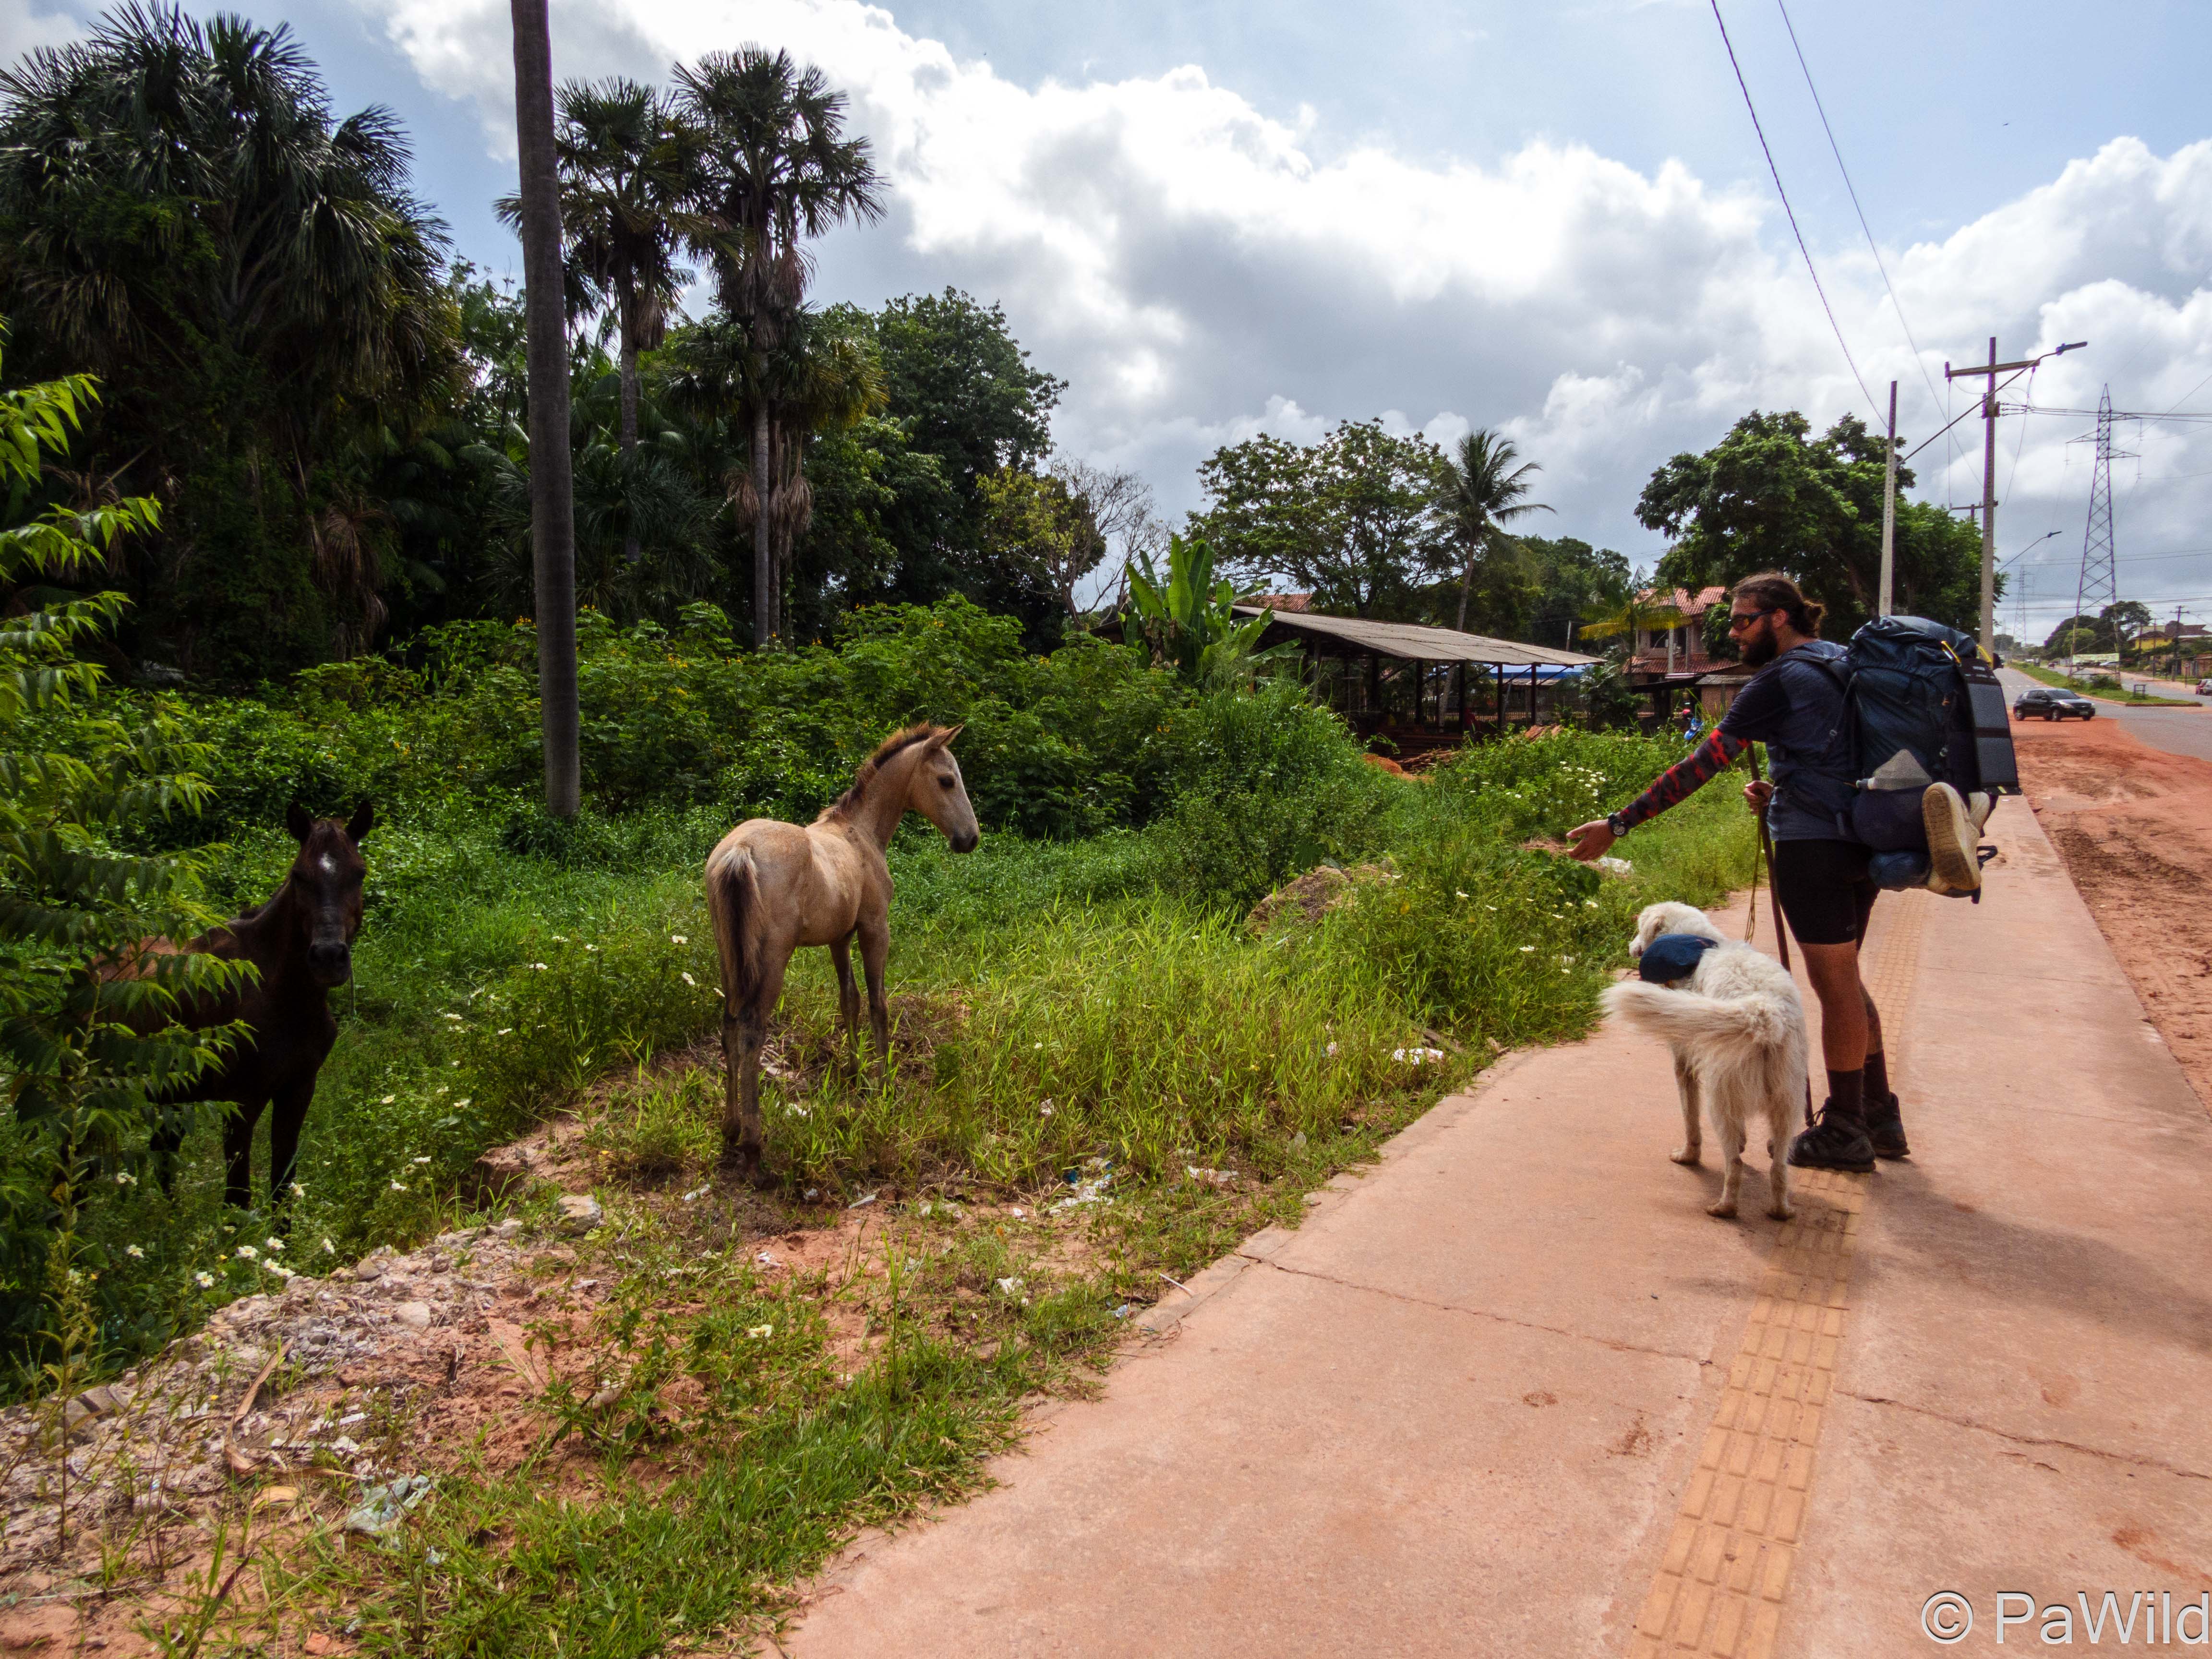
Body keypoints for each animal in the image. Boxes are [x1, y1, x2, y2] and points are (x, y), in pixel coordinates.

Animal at [144, 801, 376, 1212]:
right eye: (299, 876)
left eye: (359, 874)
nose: (328, 958)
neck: (281, 996)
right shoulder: (239, 1105)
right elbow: (238, 1198)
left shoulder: (297, 1092)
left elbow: (282, 1186)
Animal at [1601, 911, 1805, 1221]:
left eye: (1639, 928)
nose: (1630, 946)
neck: (1698, 947)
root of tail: (1764, 1012)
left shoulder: (1684, 1066)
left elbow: (1691, 1122)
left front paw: (1688, 1157)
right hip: (1787, 1103)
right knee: (1779, 1166)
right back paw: (1780, 1210)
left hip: (1720, 1100)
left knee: (1734, 1164)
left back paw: (1724, 1208)